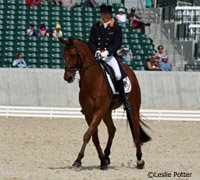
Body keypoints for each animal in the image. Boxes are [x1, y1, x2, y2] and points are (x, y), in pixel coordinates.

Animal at [58, 38, 151, 170]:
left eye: (73, 55)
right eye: (63, 55)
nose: (68, 77)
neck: (92, 81)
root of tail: (129, 70)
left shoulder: (99, 111)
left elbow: (87, 135)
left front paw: (78, 160)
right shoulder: (89, 113)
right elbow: (94, 136)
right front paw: (102, 160)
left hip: (133, 108)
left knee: (136, 132)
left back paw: (139, 160)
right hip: (107, 112)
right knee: (112, 129)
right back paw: (107, 156)